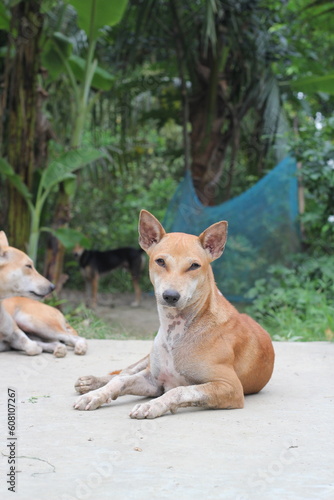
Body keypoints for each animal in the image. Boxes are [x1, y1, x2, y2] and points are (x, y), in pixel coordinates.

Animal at [74, 211, 276, 418]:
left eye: (194, 265)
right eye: (160, 261)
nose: (170, 296)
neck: (176, 329)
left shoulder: (231, 387)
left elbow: (179, 390)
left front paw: (153, 405)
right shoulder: (153, 380)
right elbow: (121, 381)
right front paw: (96, 395)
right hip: (147, 360)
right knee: (123, 373)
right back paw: (92, 383)